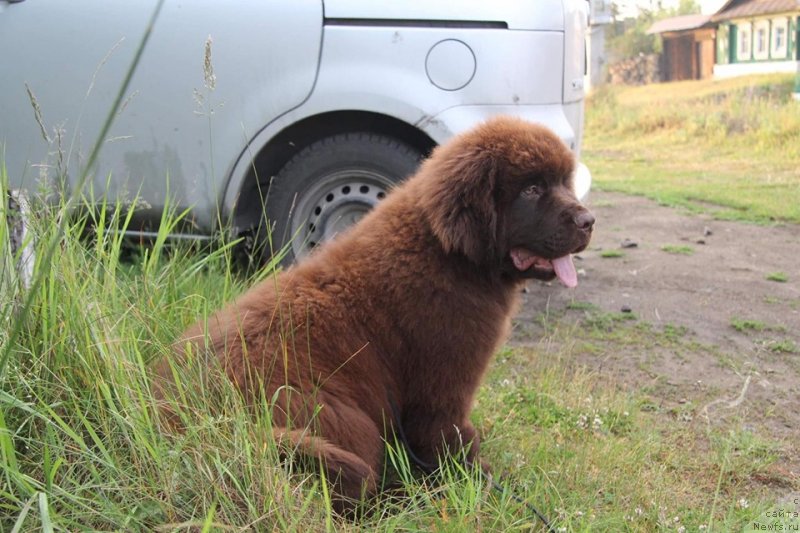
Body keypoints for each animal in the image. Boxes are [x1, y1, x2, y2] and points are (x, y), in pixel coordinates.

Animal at [159, 115, 592, 508]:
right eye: (532, 189)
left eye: (564, 183)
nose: (589, 220)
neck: (447, 253)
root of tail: (187, 419)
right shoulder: (442, 384)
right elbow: (449, 438)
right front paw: (479, 481)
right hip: (340, 418)